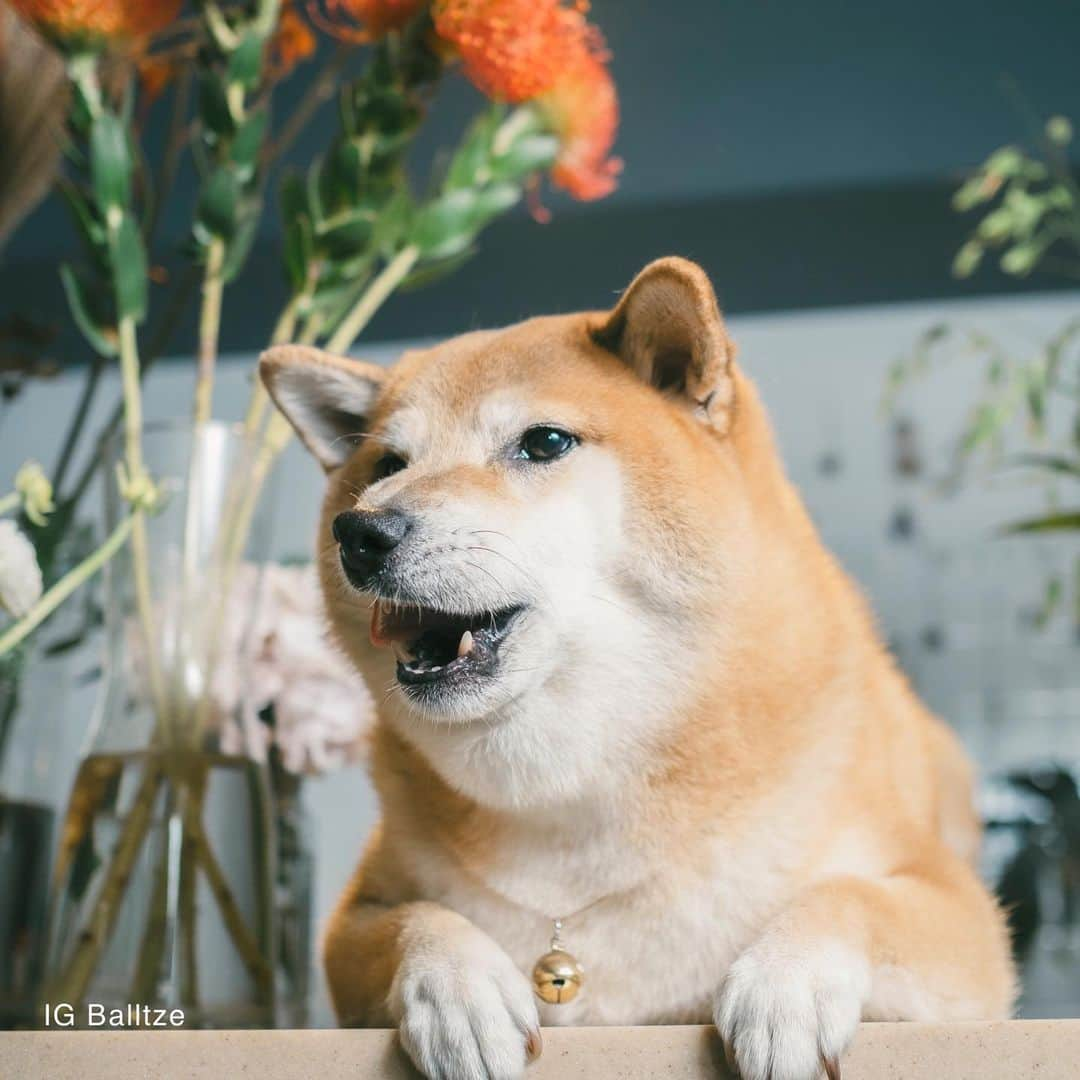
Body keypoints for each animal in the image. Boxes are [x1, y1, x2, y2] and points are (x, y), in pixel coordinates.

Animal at [259, 254, 1010, 1080]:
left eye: (544, 443)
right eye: (386, 465)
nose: (361, 531)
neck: (571, 798)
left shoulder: (957, 910)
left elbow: (851, 897)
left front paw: (788, 982)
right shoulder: (355, 916)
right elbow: (415, 920)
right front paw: (458, 988)